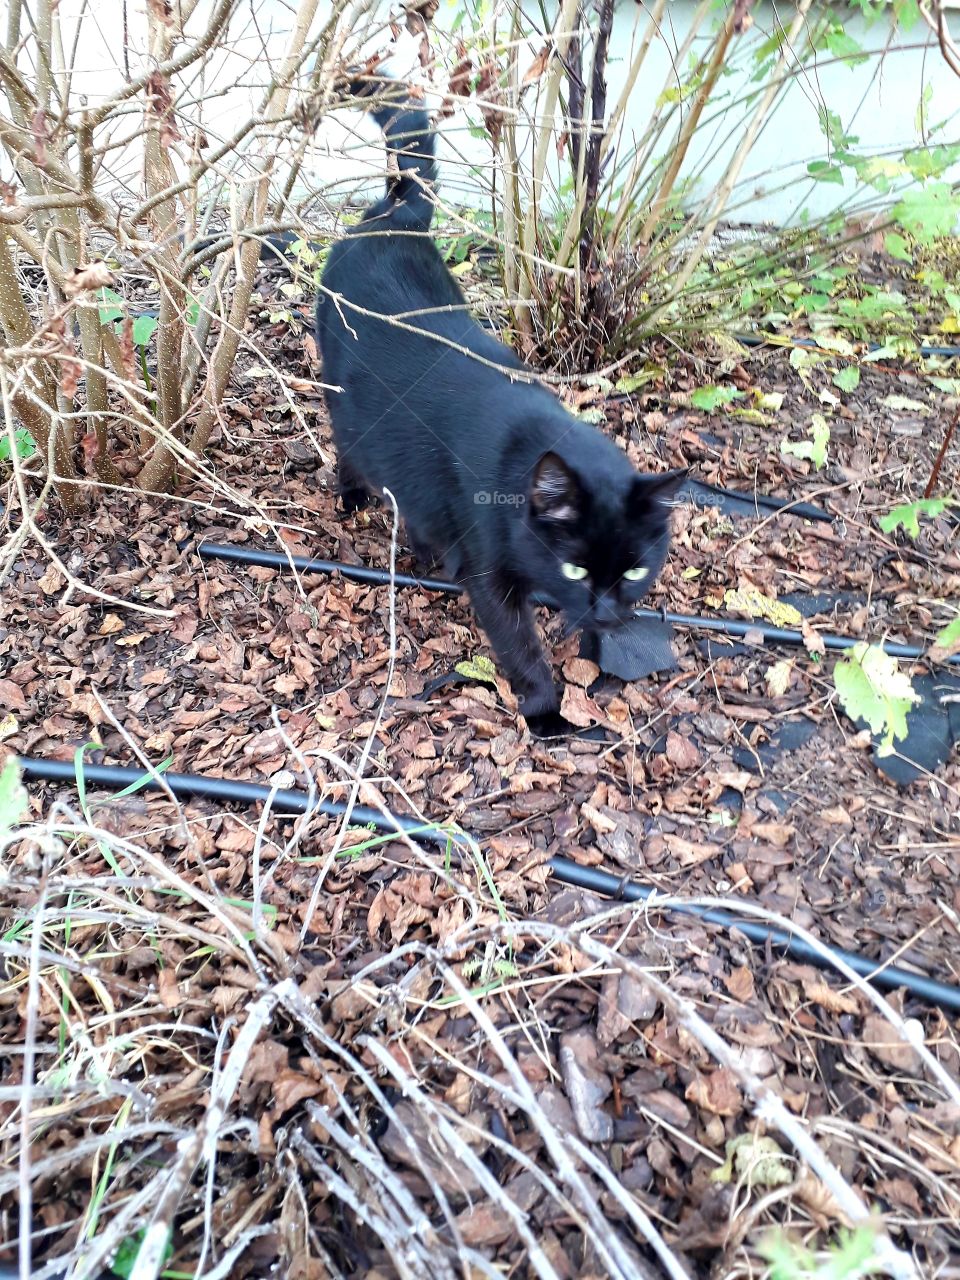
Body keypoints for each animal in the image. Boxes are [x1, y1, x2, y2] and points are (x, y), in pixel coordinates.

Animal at [316, 80, 686, 737]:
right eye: (575, 570)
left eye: (636, 570)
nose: (607, 612)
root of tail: (396, 216)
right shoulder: (491, 578)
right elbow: (520, 647)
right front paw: (545, 712)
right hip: (343, 398)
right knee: (351, 445)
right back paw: (355, 496)